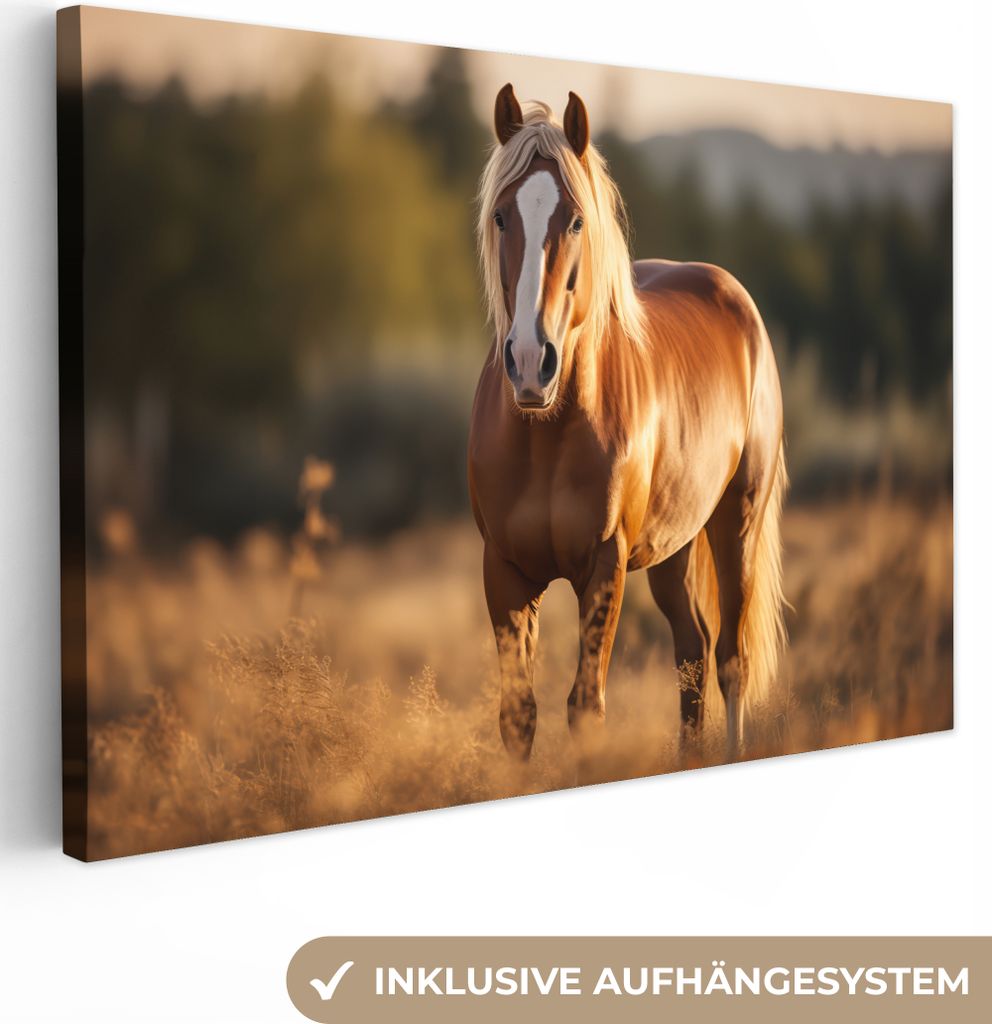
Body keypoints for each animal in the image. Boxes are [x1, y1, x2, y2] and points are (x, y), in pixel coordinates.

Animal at [468, 85, 787, 763]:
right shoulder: (504, 570)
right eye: (502, 216)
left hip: (736, 523)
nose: (531, 362)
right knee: (693, 654)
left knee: (731, 662)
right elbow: (518, 716)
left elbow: (585, 708)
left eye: (576, 220)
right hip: (674, 548)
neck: (546, 434)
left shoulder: (604, 565)